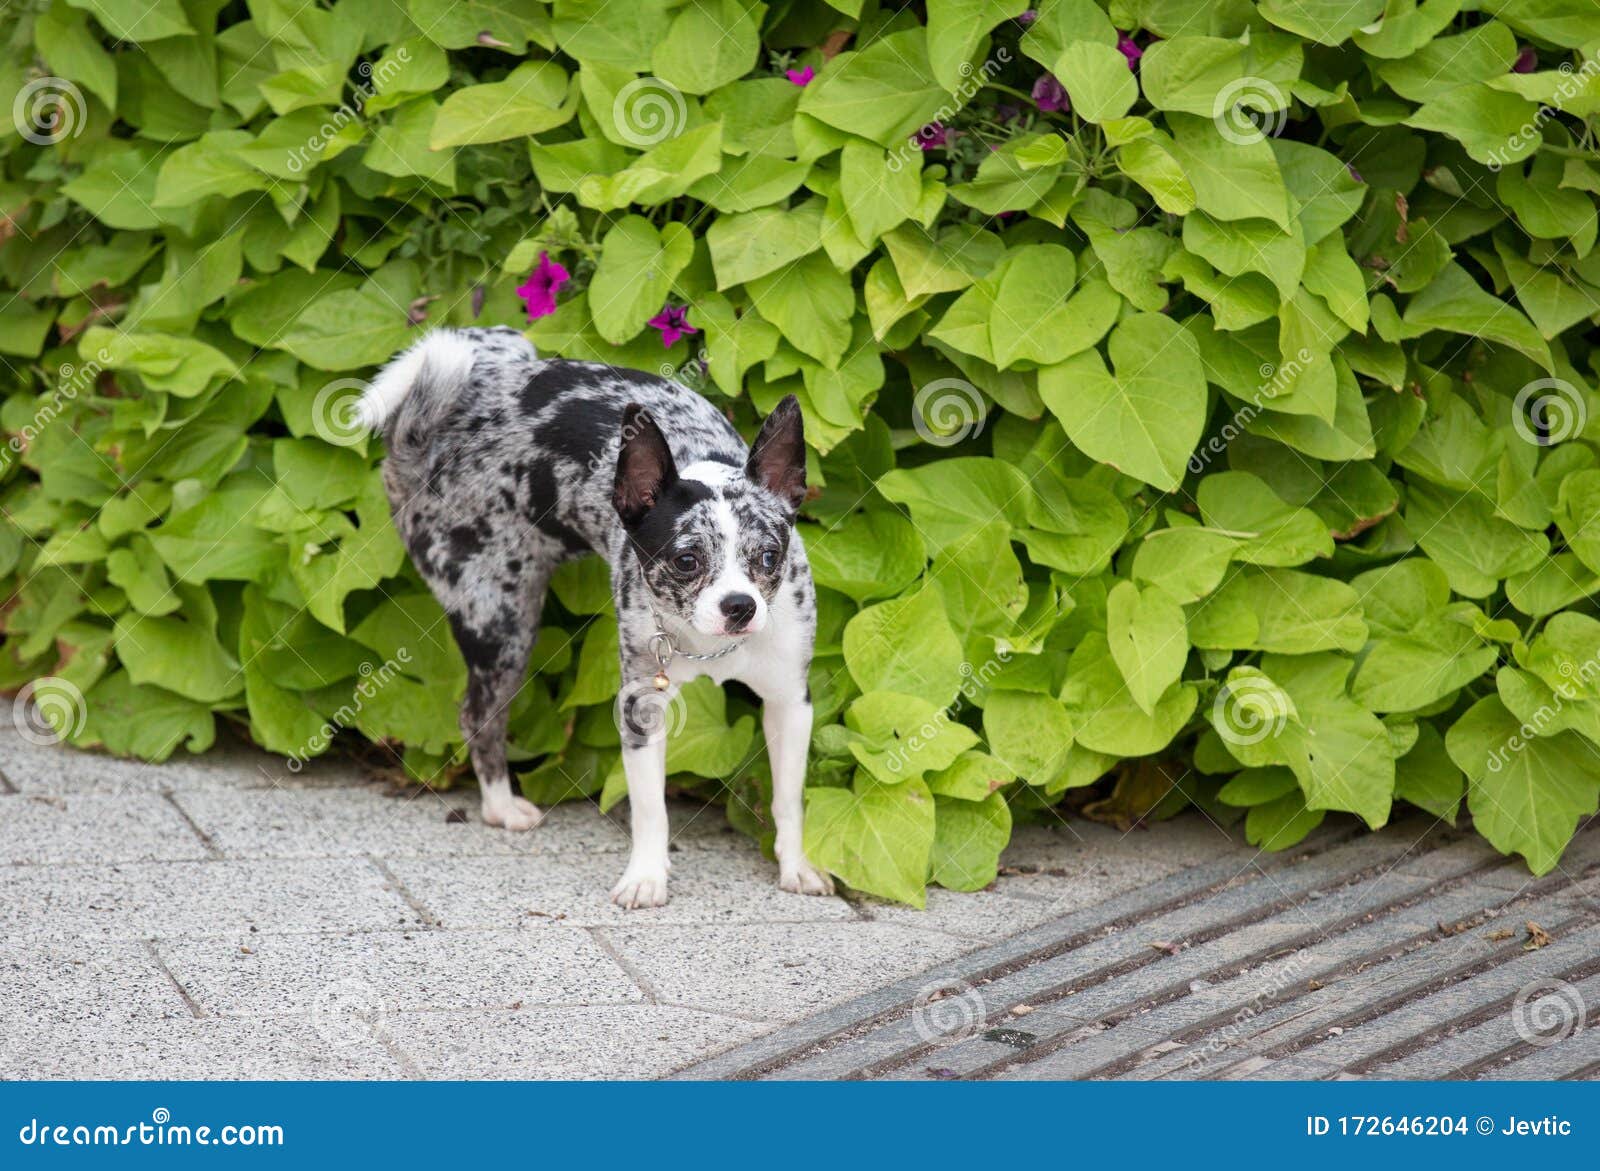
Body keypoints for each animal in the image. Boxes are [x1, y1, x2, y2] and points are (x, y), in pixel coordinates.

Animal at [356, 326, 832, 908]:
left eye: (768, 556)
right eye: (687, 560)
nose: (739, 605)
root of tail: (424, 434)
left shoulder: (790, 703)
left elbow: (788, 800)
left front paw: (795, 866)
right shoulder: (640, 708)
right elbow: (650, 808)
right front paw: (647, 875)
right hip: (502, 623)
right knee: (477, 715)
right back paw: (501, 806)